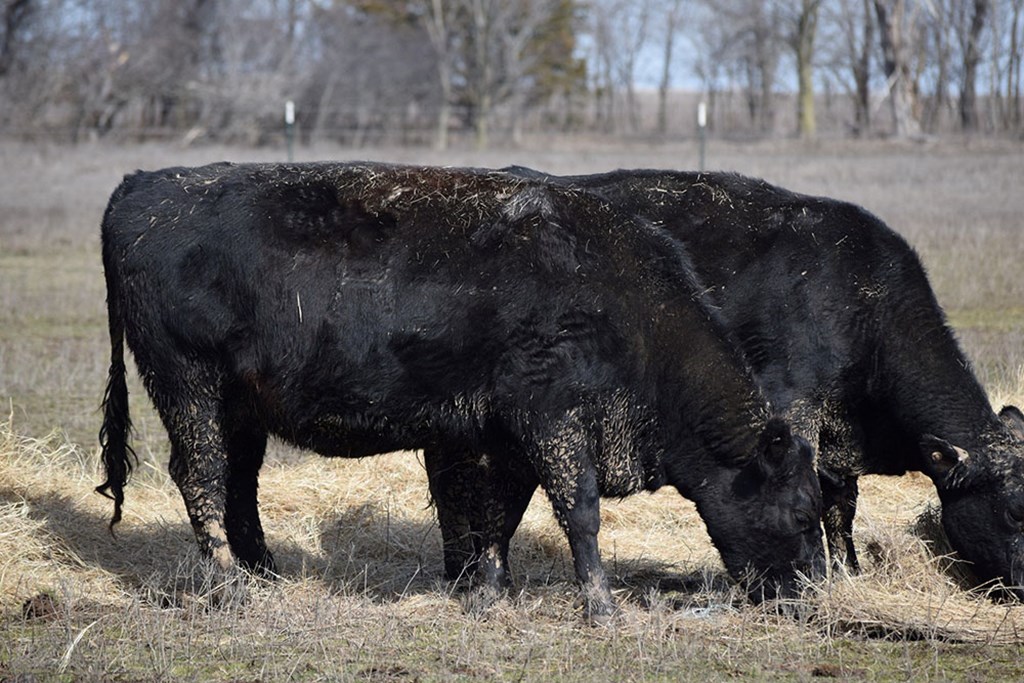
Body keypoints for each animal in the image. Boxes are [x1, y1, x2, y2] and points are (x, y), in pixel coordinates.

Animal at [97, 160, 823, 618]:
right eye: (799, 512)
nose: (813, 592)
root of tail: (147, 186)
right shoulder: (551, 416)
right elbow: (579, 511)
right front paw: (601, 605)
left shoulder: (506, 432)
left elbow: (501, 513)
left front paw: (490, 592)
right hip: (188, 384)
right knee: (201, 476)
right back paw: (228, 586)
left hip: (240, 402)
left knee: (239, 480)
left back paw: (264, 572)